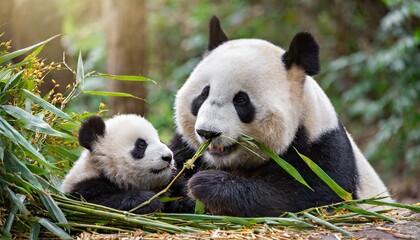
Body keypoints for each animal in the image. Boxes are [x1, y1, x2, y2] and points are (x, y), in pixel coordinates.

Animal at [61, 114, 193, 214]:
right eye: (141, 144)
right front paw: (147, 200)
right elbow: (99, 204)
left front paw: (182, 200)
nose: (168, 157)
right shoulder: (84, 187)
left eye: (160, 140)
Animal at [170, 15, 390, 217]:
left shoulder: (322, 150)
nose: (207, 133)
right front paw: (180, 190)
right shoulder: (184, 147)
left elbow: (306, 198)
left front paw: (206, 185)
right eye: (203, 94)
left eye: (241, 100)